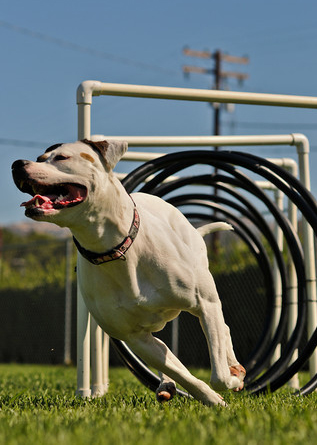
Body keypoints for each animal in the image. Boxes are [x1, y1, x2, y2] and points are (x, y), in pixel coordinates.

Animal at [11, 140, 244, 406]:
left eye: (61, 157)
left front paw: (231, 381)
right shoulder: (135, 338)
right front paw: (211, 398)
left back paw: (233, 366)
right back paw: (166, 383)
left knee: (222, 330)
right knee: (169, 354)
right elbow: (182, 372)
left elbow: (219, 375)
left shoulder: (205, 304)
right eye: (40, 158)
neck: (115, 249)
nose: (17, 164)